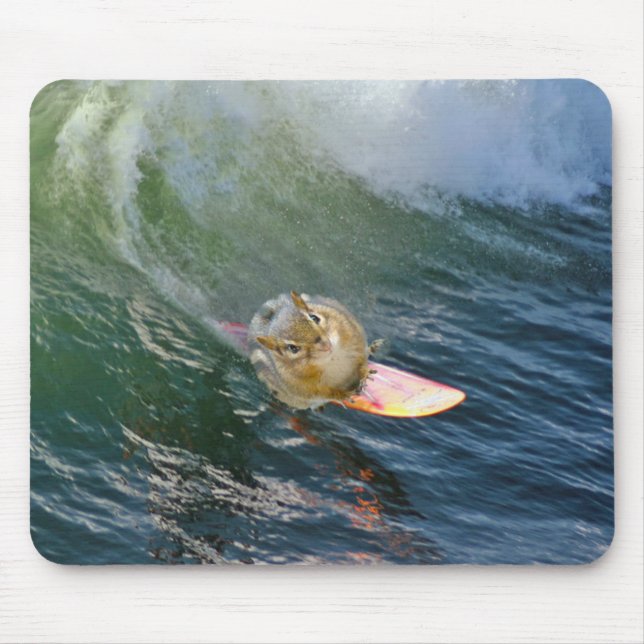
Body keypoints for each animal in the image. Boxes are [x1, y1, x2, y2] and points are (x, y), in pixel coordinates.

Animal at [248, 291, 384, 410]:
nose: (325, 344)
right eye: (293, 348)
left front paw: (365, 371)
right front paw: (342, 395)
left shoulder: (353, 333)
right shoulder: (302, 386)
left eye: (314, 318)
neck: (332, 358)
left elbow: (361, 357)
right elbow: (322, 393)